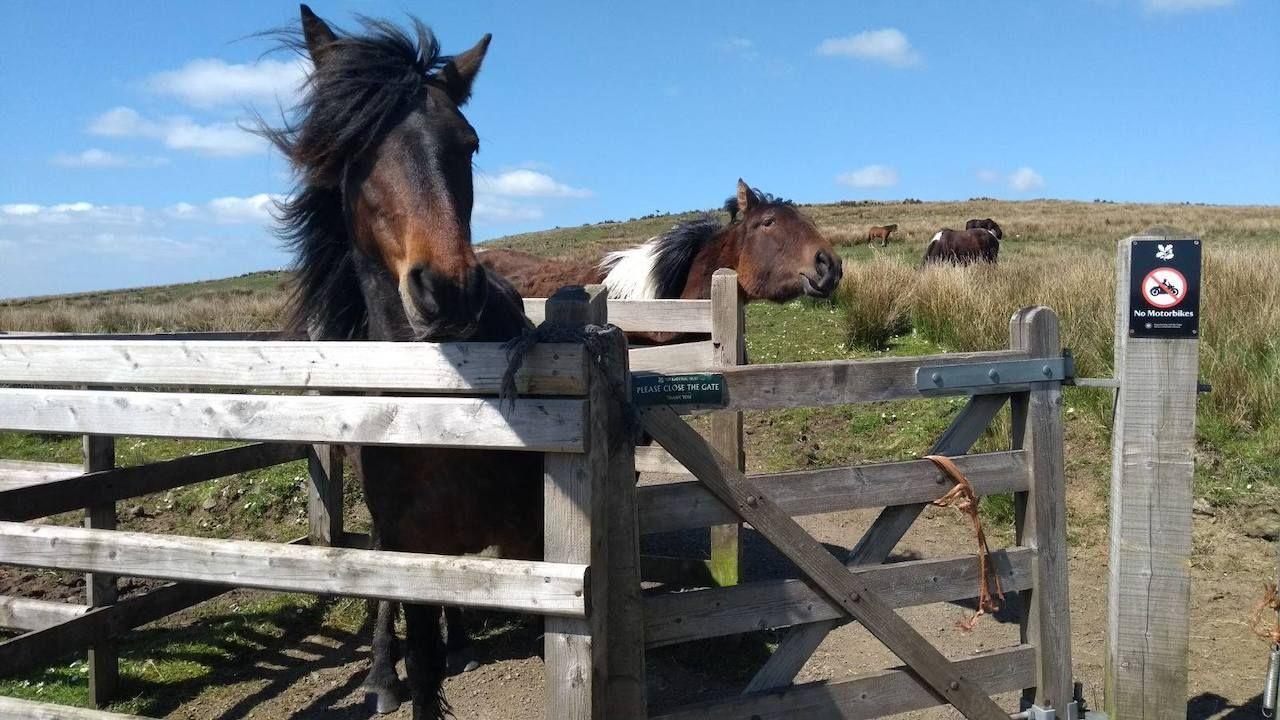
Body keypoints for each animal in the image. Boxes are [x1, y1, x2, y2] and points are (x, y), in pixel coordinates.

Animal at [259, 8, 538, 718]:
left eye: (469, 144)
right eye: (352, 154)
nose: (449, 289)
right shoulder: (411, 544)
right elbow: (421, 659)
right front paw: (397, 671)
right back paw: (383, 675)